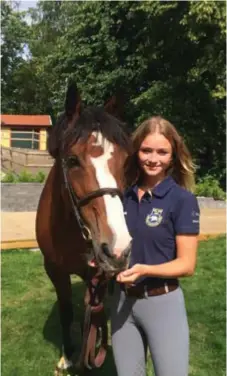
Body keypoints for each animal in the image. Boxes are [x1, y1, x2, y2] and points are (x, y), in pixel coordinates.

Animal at [35, 83, 131, 376]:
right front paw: (68, 355)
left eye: (126, 162)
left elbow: (93, 312)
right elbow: (67, 312)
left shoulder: (95, 272)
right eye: (72, 160)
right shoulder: (54, 269)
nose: (117, 247)